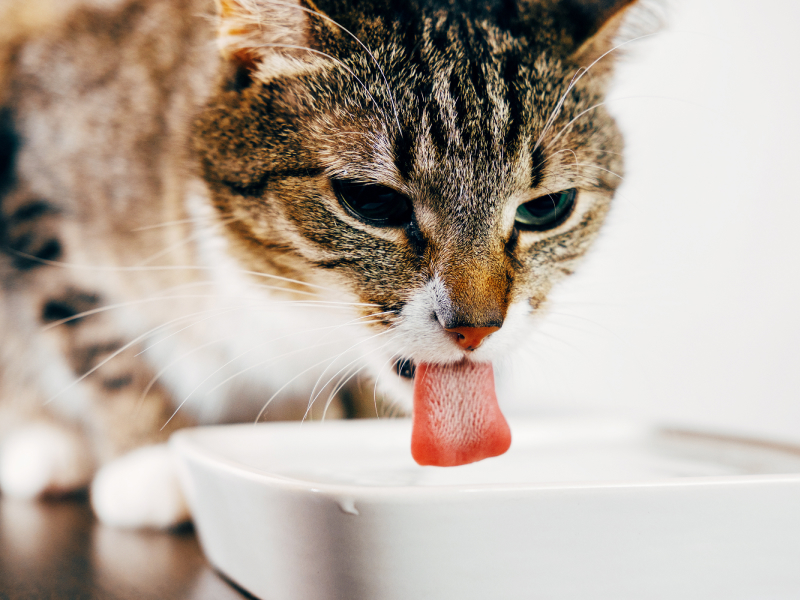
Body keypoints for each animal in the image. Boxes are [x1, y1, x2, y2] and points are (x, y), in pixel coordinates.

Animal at [0, 0, 644, 524]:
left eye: (547, 208)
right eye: (372, 201)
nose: (476, 328)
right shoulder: (37, 185)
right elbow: (97, 337)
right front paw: (150, 454)